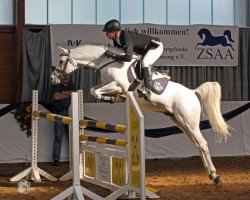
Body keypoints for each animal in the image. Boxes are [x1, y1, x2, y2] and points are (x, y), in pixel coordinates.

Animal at [50, 44, 230, 185]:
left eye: (61, 61)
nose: (53, 79)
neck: (106, 62)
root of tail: (193, 92)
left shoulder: (117, 85)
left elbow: (97, 91)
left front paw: (114, 98)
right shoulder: (106, 84)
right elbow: (94, 90)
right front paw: (112, 98)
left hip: (190, 122)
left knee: (203, 144)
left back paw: (216, 176)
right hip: (181, 122)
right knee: (198, 145)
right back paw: (210, 173)